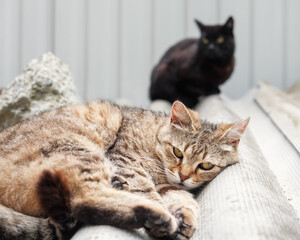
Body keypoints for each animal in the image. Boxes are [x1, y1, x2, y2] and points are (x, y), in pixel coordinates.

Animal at [0, 100, 248, 239]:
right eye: (178, 152)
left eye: (206, 165)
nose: (184, 175)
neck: (154, 136)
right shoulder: (127, 161)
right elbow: (150, 192)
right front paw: (167, 218)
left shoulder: (167, 184)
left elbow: (181, 197)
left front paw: (186, 217)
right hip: (80, 150)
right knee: (83, 199)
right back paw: (155, 216)